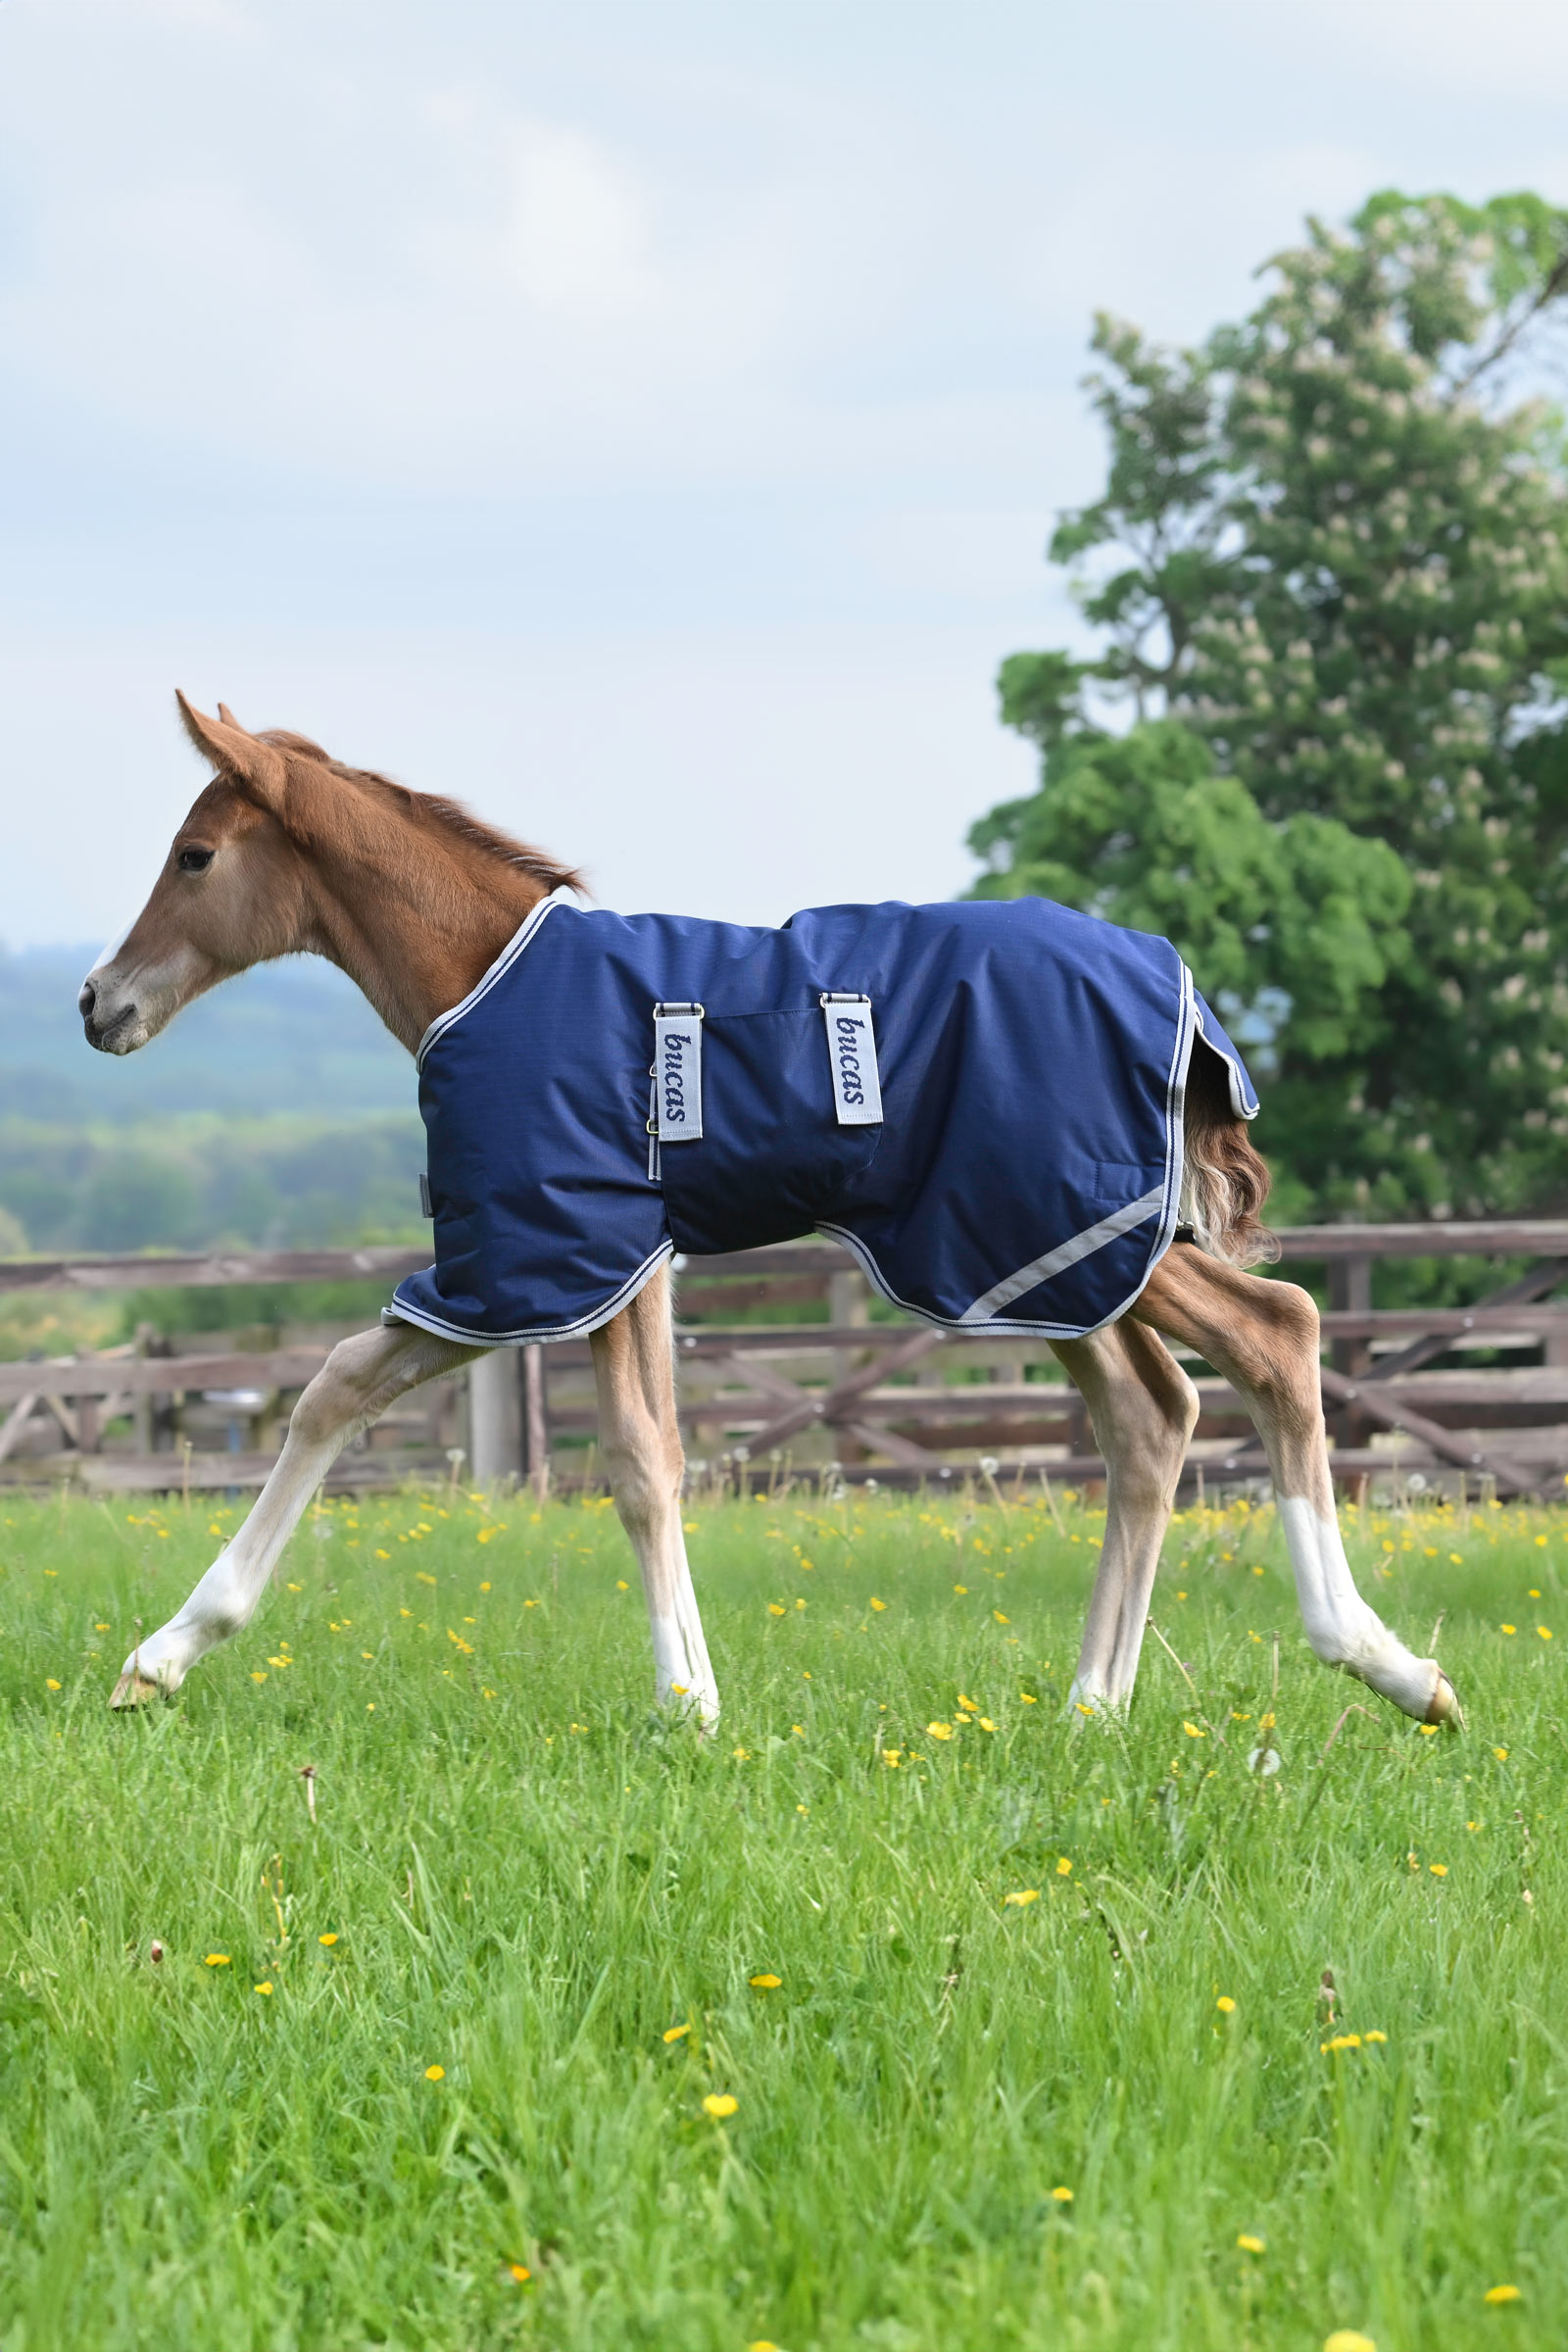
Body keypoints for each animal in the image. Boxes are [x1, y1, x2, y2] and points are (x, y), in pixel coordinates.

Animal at [79, 694, 1462, 1732]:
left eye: (195, 856)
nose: (100, 1002)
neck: (486, 975)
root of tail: (1174, 984)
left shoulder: (534, 1258)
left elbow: (408, 1408)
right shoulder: (613, 1261)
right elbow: (631, 1455)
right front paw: (695, 1693)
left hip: (1043, 1227)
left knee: (1277, 1332)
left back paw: (1387, 1667)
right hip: (1049, 1257)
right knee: (1153, 1414)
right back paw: (1092, 1706)